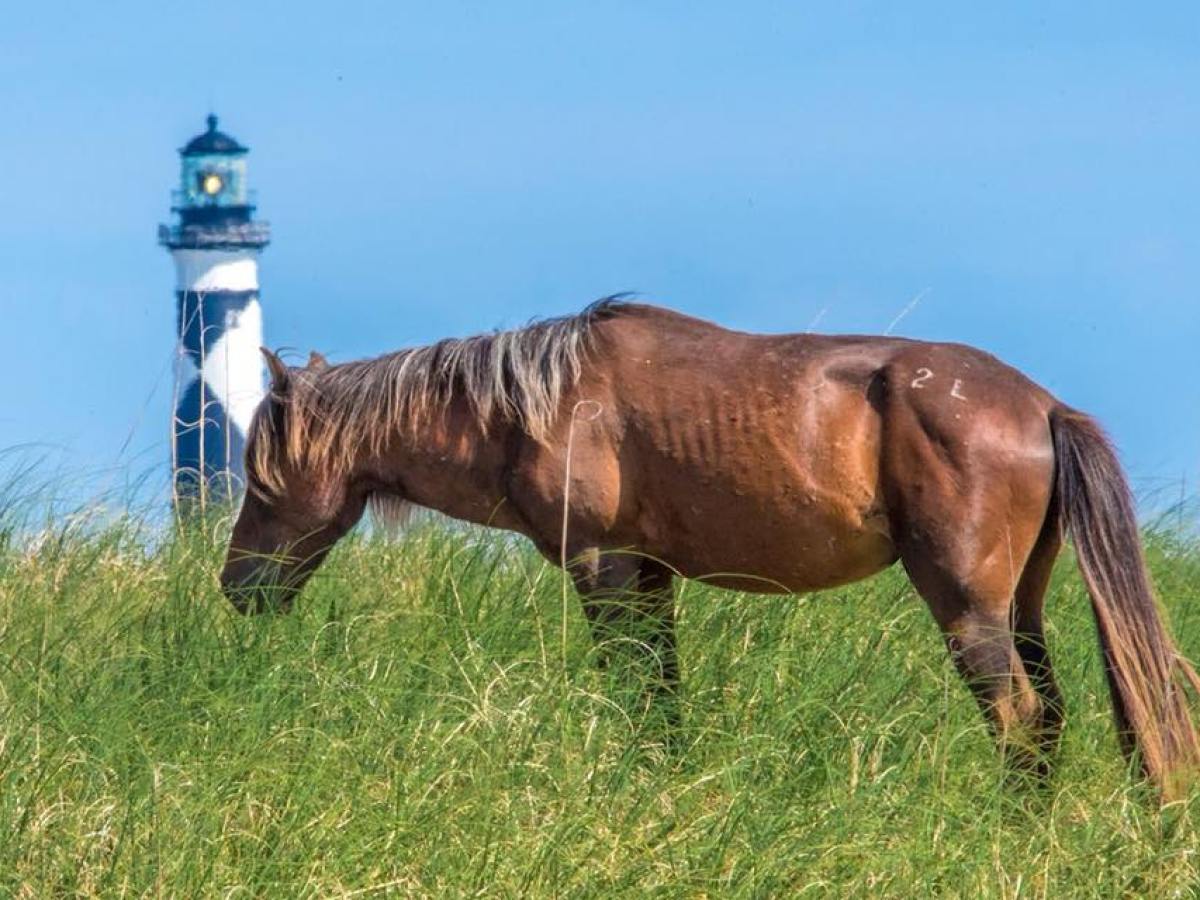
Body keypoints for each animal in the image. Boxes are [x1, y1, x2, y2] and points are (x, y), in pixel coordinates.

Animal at [220, 298, 1200, 798]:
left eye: (260, 473)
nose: (238, 588)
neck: (532, 405)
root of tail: (1041, 405)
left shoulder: (607, 571)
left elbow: (633, 691)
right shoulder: (651, 579)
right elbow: (662, 701)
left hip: (967, 608)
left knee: (1021, 719)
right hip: (1020, 604)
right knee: (1052, 716)